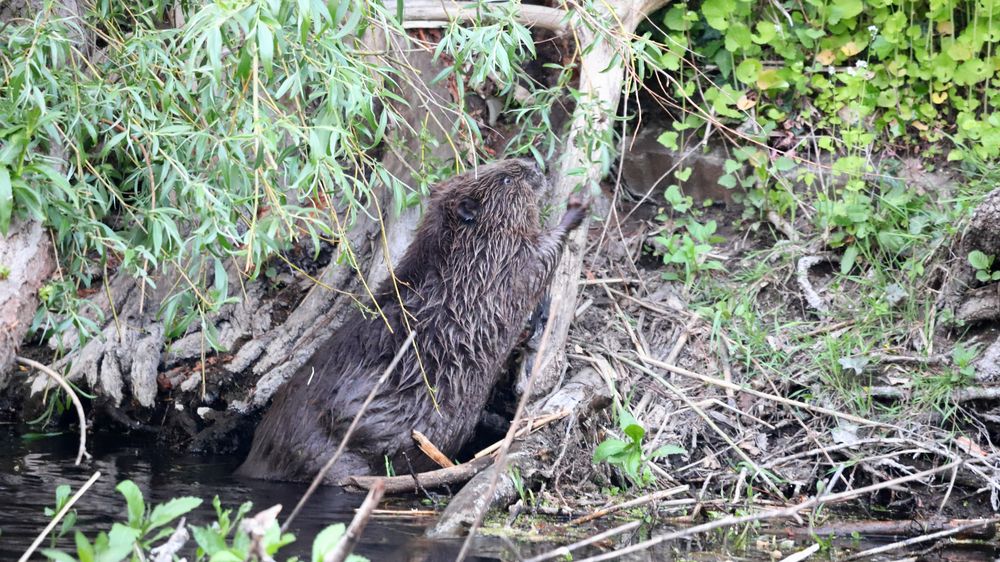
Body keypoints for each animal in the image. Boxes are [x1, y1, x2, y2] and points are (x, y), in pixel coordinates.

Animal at [235, 158, 584, 482]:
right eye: (506, 178)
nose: (535, 165)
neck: (462, 253)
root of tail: (255, 463)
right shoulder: (503, 264)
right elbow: (541, 259)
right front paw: (577, 208)